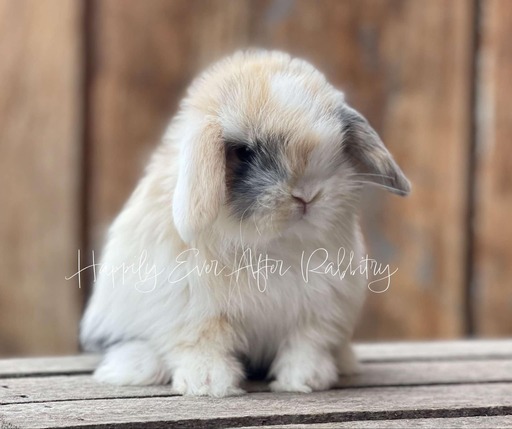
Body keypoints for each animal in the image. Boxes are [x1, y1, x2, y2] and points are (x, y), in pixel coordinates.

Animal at [80, 51, 410, 398]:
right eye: (245, 152)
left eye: (338, 145)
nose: (307, 195)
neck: (273, 246)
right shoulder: (197, 313)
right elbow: (204, 346)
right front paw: (208, 384)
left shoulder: (316, 314)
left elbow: (305, 347)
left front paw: (306, 380)